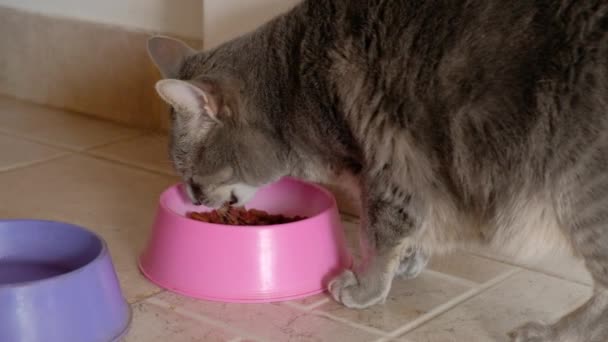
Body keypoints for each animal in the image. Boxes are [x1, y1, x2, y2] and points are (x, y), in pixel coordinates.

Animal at [147, 1, 608, 340]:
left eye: (191, 174)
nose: (193, 200)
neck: (294, 88)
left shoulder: (387, 167)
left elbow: (377, 236)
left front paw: (365, 286)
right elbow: (415, 227)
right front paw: (409, 259)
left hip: (581, 193)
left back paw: (550, 333)